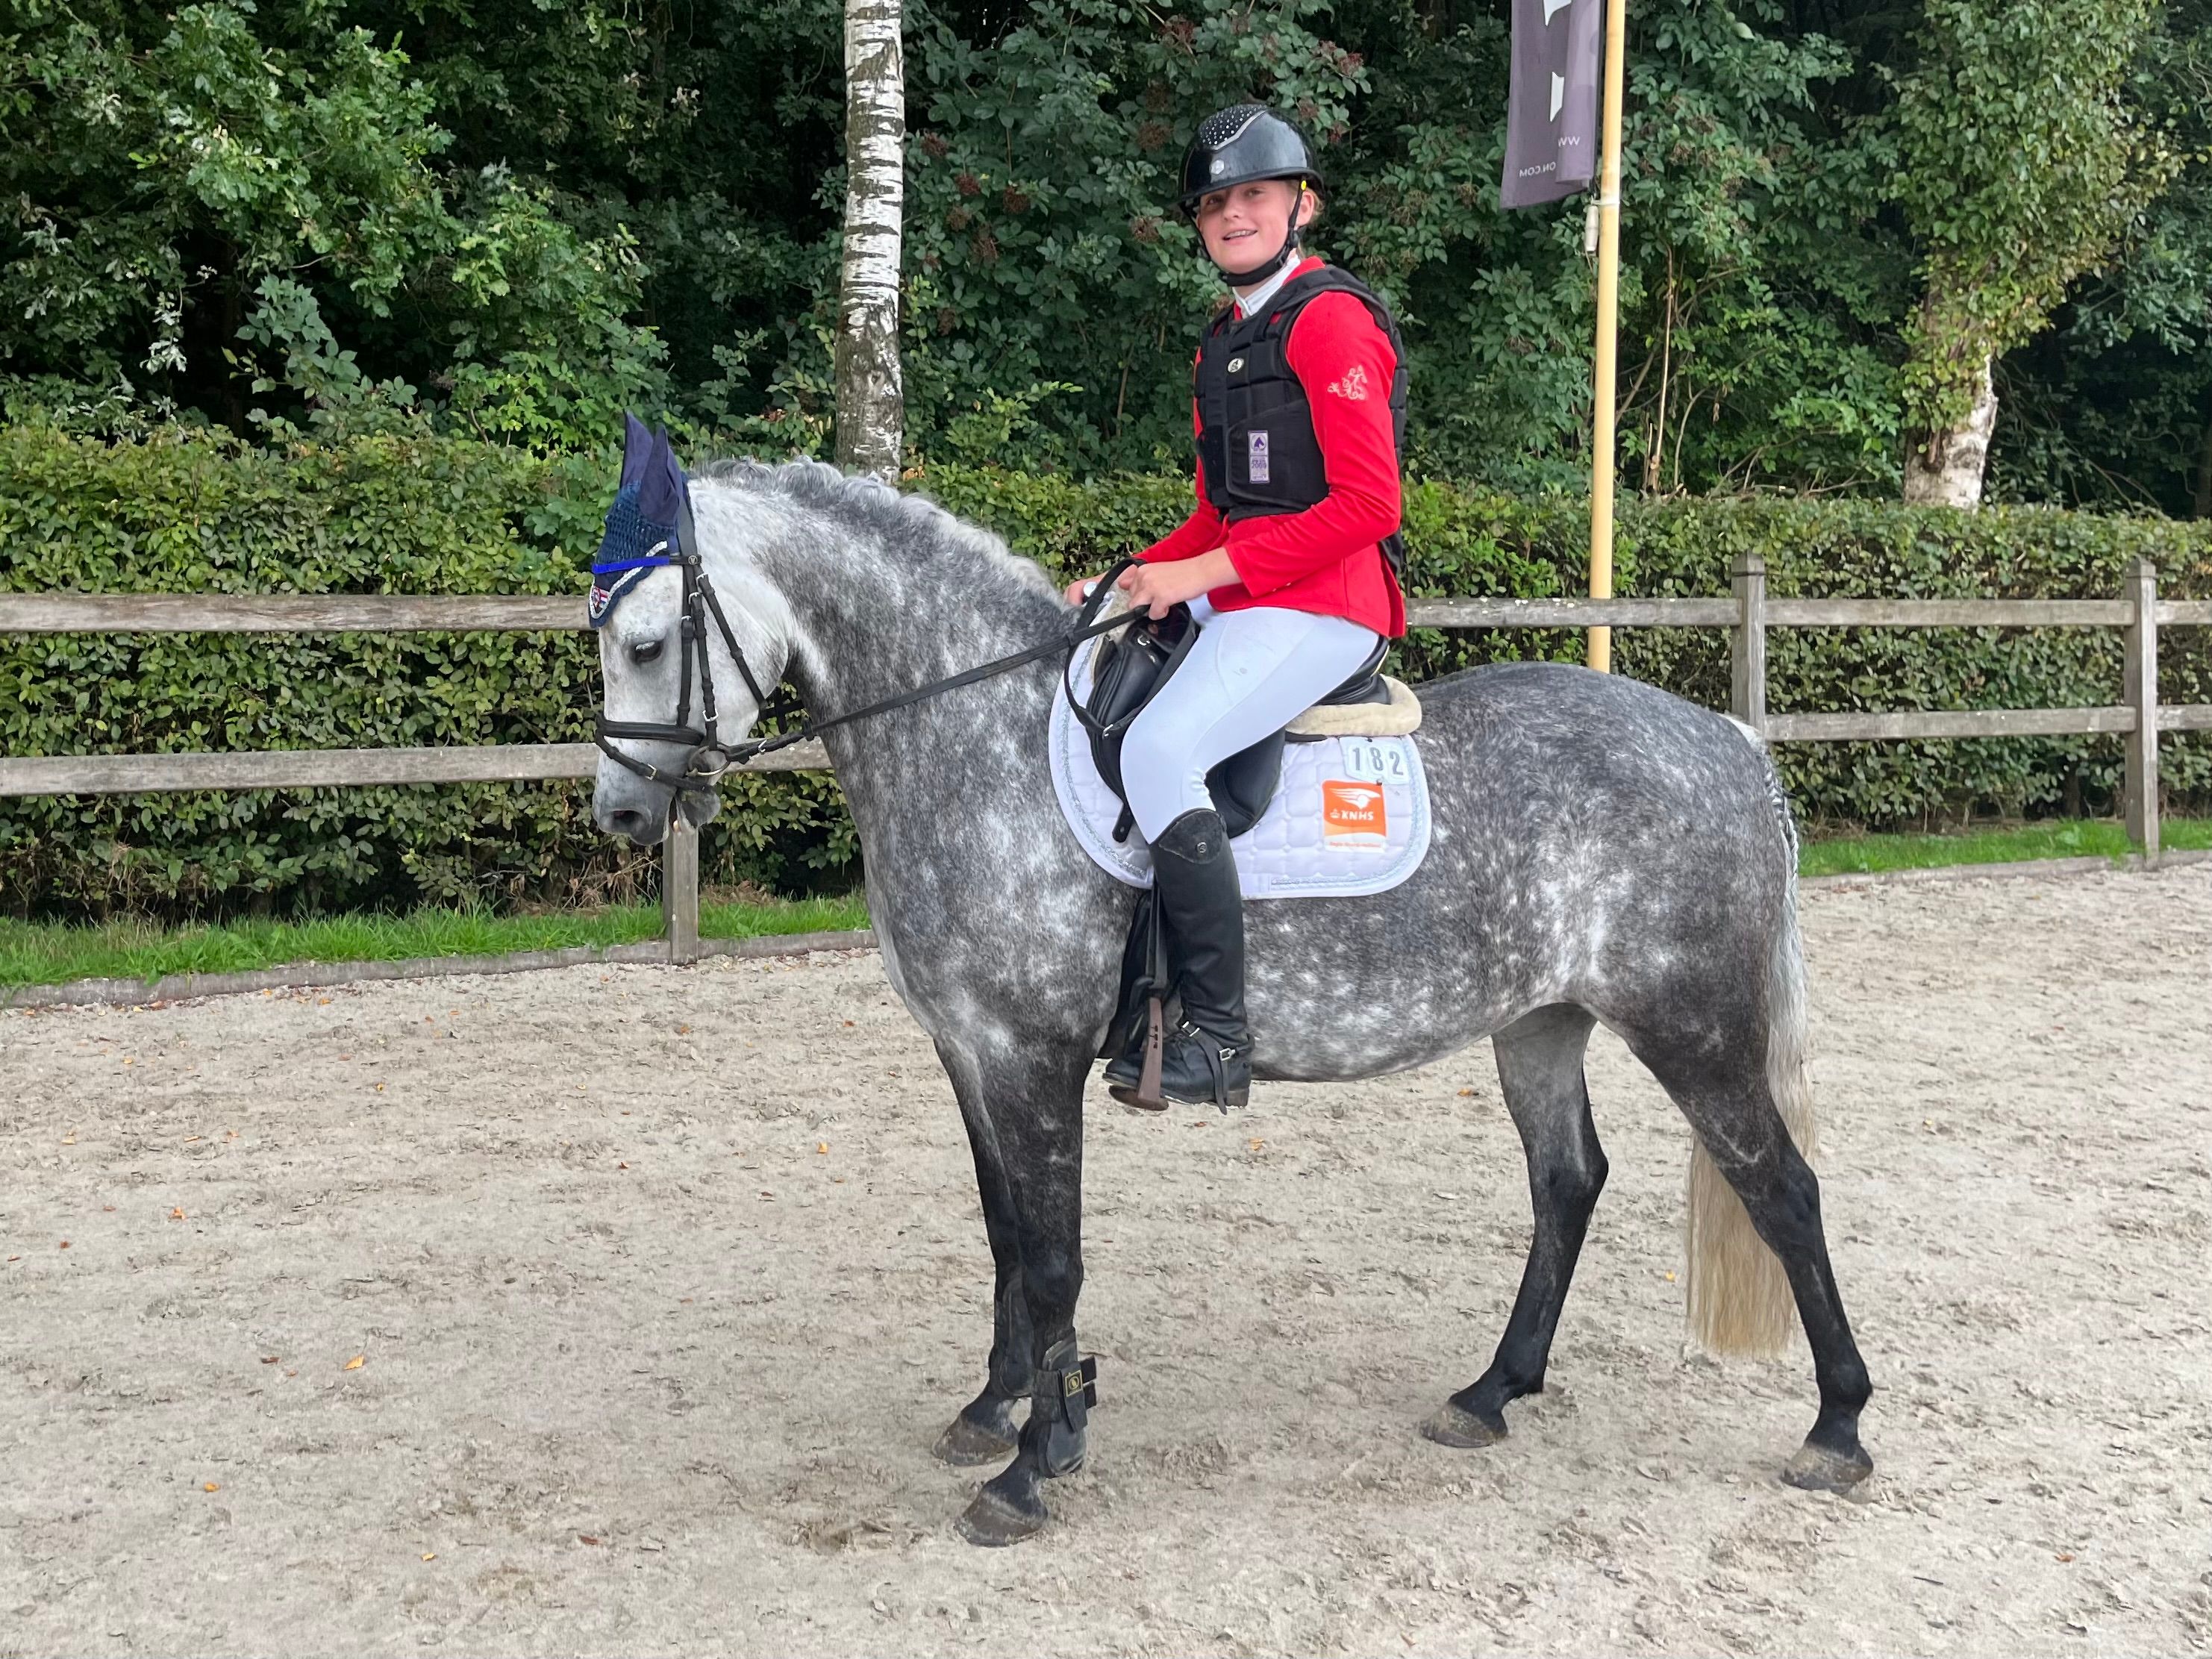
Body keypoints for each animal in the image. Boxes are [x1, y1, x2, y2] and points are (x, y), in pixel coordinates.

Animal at [588, 454, 1875, 1547]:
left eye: (648, 642)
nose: (621, 813)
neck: (975, 733)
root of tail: (1728, 738)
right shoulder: (969, 1047)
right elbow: (1006, 1236)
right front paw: (994, 1406)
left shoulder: (1029, 1053)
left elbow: (1053, 1258)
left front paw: (1035, 1462)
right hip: (1539, 1023)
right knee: (1569, 1181)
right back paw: (1491, 1390)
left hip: (1693, 1025)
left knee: (1784, 1188)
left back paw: (1838, 1426)